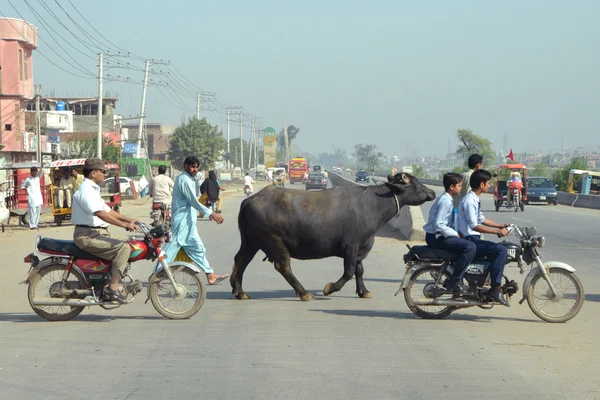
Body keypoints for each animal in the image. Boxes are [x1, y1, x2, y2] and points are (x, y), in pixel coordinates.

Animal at [231, 172, 436, 300]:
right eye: (416, 183)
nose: (433, 192)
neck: (373, 204)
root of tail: (251, 200)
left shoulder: (360, 248)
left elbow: (359, 271)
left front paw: (364, 291)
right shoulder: (351, 247)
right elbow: (349, 271)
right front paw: (330, 288)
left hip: (251, 242)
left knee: (240, 260)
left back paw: (239, 291)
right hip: (274, 242)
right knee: (283, 266)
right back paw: (304, 293)